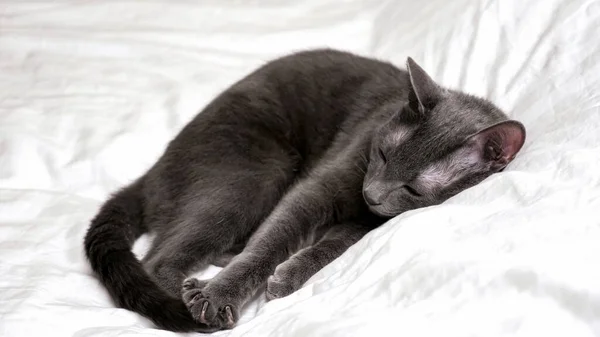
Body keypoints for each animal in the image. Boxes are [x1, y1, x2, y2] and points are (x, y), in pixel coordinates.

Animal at [83, 49, 524, 330]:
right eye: (382, 153)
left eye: (413, 190)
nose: (372, 195)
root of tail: (151, 173)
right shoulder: (320, 187)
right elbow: (272, 241)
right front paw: (220, 295)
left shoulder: (365, 224)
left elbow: (331, 248)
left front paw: (288, 275)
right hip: (258, 173)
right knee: (158, 259)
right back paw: (194, 293)